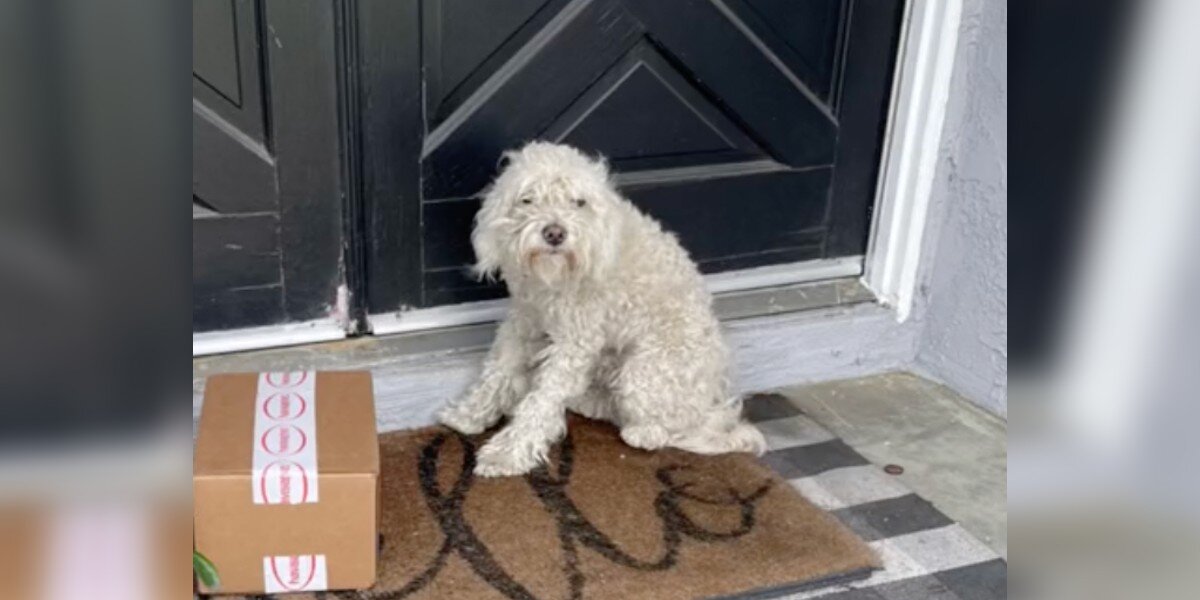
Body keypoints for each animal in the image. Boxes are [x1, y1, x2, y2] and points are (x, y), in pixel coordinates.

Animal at [436, 141, 763, 477]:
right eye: (528, 199)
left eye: (579, 202)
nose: (555, 233)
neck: (554, 280)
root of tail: (712, 401)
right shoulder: (524, 321)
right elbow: (497, 371)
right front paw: (469, 413)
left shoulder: (575, 343)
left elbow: (542, 399)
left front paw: (508, 453)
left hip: (643, 373)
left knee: (666, 429)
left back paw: (642, 432)